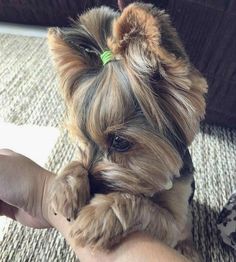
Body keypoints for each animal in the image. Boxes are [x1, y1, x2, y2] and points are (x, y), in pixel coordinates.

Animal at [47, 2, 206, 260]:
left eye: (120, 142)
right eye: (82, 140)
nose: (93, 187)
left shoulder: (174, 222)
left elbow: (140, 203)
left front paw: (99, 215)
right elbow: (76, 163)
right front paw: (65, 188)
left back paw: (188, 249)